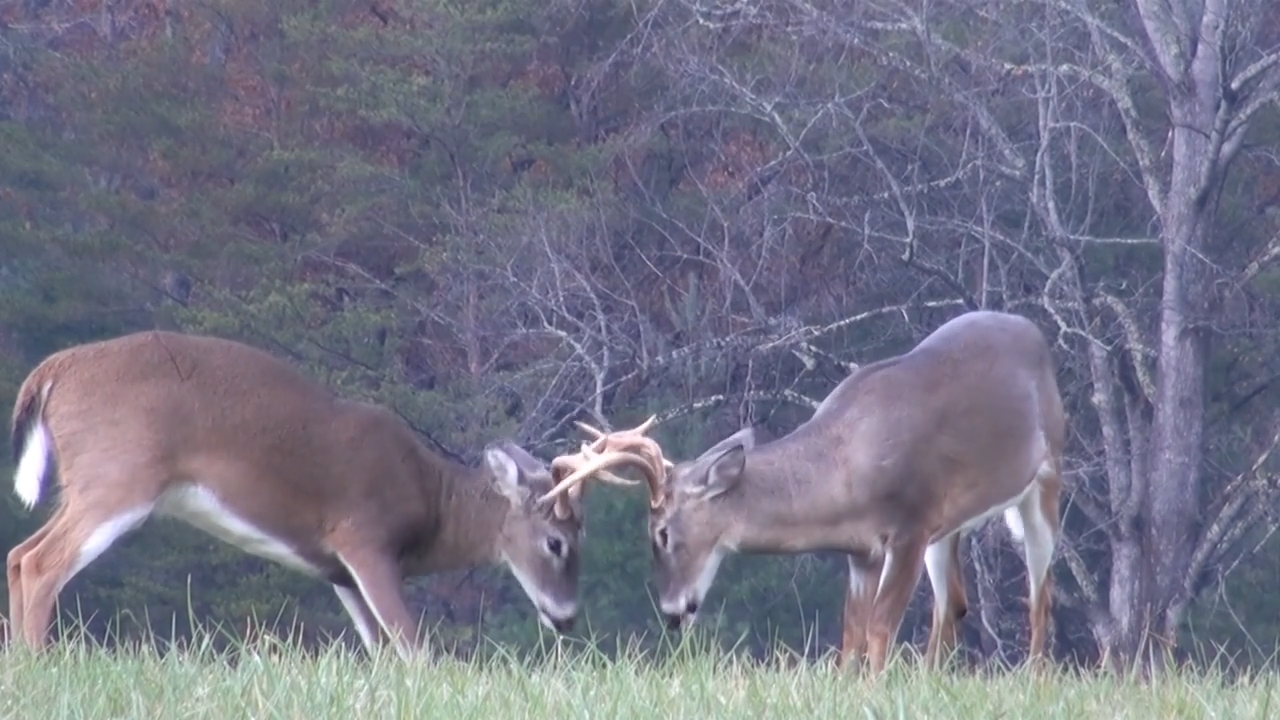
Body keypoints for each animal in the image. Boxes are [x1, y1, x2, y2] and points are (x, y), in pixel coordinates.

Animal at [6, 330, 658, 656]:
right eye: (557, 542)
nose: (566, 619)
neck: (431, 506)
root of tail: (50, 373)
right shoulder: (363, 536)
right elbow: (414, 647)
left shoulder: (337, 571)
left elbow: (383, 654)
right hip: (120, 474)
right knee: (40, 563)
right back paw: (42, 665)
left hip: (90, 482)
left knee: (17, 554)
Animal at [544, 310, 1065, 674]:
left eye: (663, 534)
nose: (673, 614)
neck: (845, 470)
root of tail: (1035, 332)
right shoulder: (863, 551)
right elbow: (852, 635)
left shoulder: (910, 526)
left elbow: (879, 627)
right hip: (950, 525)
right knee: (953, 603)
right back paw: (930, 678)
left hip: (1046, 476)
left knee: (1041, 595)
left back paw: (1033, 678)